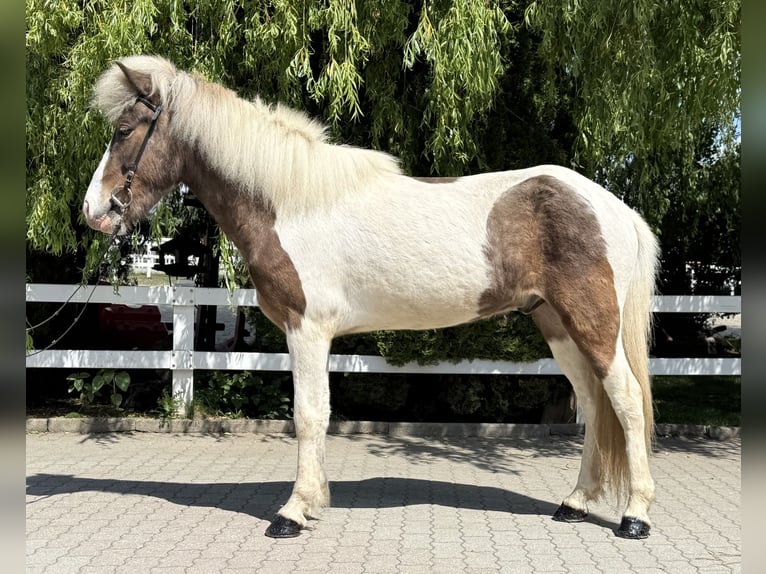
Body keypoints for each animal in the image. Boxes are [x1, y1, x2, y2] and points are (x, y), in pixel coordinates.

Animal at [82, 55, 660, 540]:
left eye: (124, 130)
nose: (95, 211)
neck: (291, 202)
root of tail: (613, 207)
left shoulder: (307, 328)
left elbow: (308, 414)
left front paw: (294, 512)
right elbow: (318, 412)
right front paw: (314, 500)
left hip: (593, 323)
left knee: (627, 401)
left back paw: (635, 517)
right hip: (557, 326)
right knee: (594, 403)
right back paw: (576, 503)